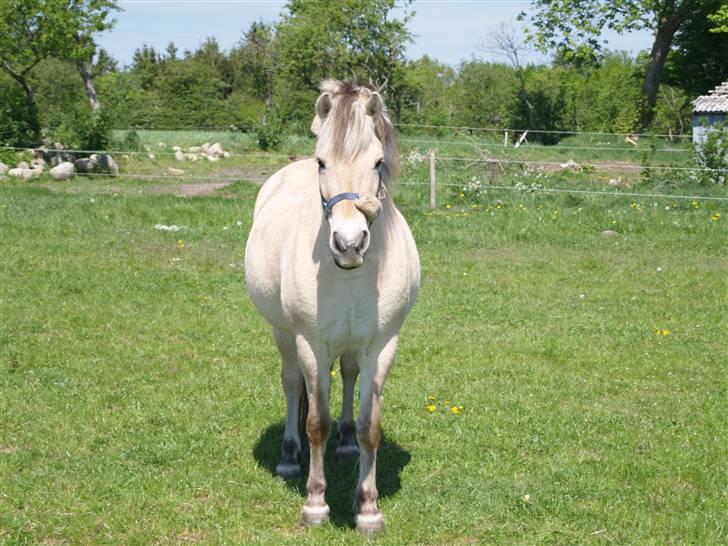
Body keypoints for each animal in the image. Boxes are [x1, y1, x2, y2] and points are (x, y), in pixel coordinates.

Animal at [245, 81, 418, 532]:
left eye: (378, 162)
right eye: (322, 163)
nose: (349, 243)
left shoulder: (382, 346)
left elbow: (370, 425)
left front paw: (368, 508)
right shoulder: (311, 343)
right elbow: (316, 422)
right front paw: (315, 503)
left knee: (348, 375)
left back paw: (345, 443)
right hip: (284, 334)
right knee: (292, 384)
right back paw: (290, 458)